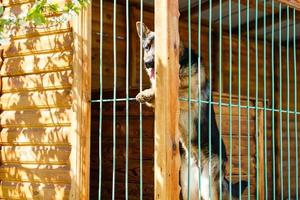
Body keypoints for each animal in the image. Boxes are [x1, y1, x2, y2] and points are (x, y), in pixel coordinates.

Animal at [137, 21, 247, 199]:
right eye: (146, 47)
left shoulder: (191, 96)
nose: (147, 63)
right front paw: (147, 94)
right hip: (189, 188)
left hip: (209, 188)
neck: (181, 65)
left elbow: (174, 90)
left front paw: (149, 92)